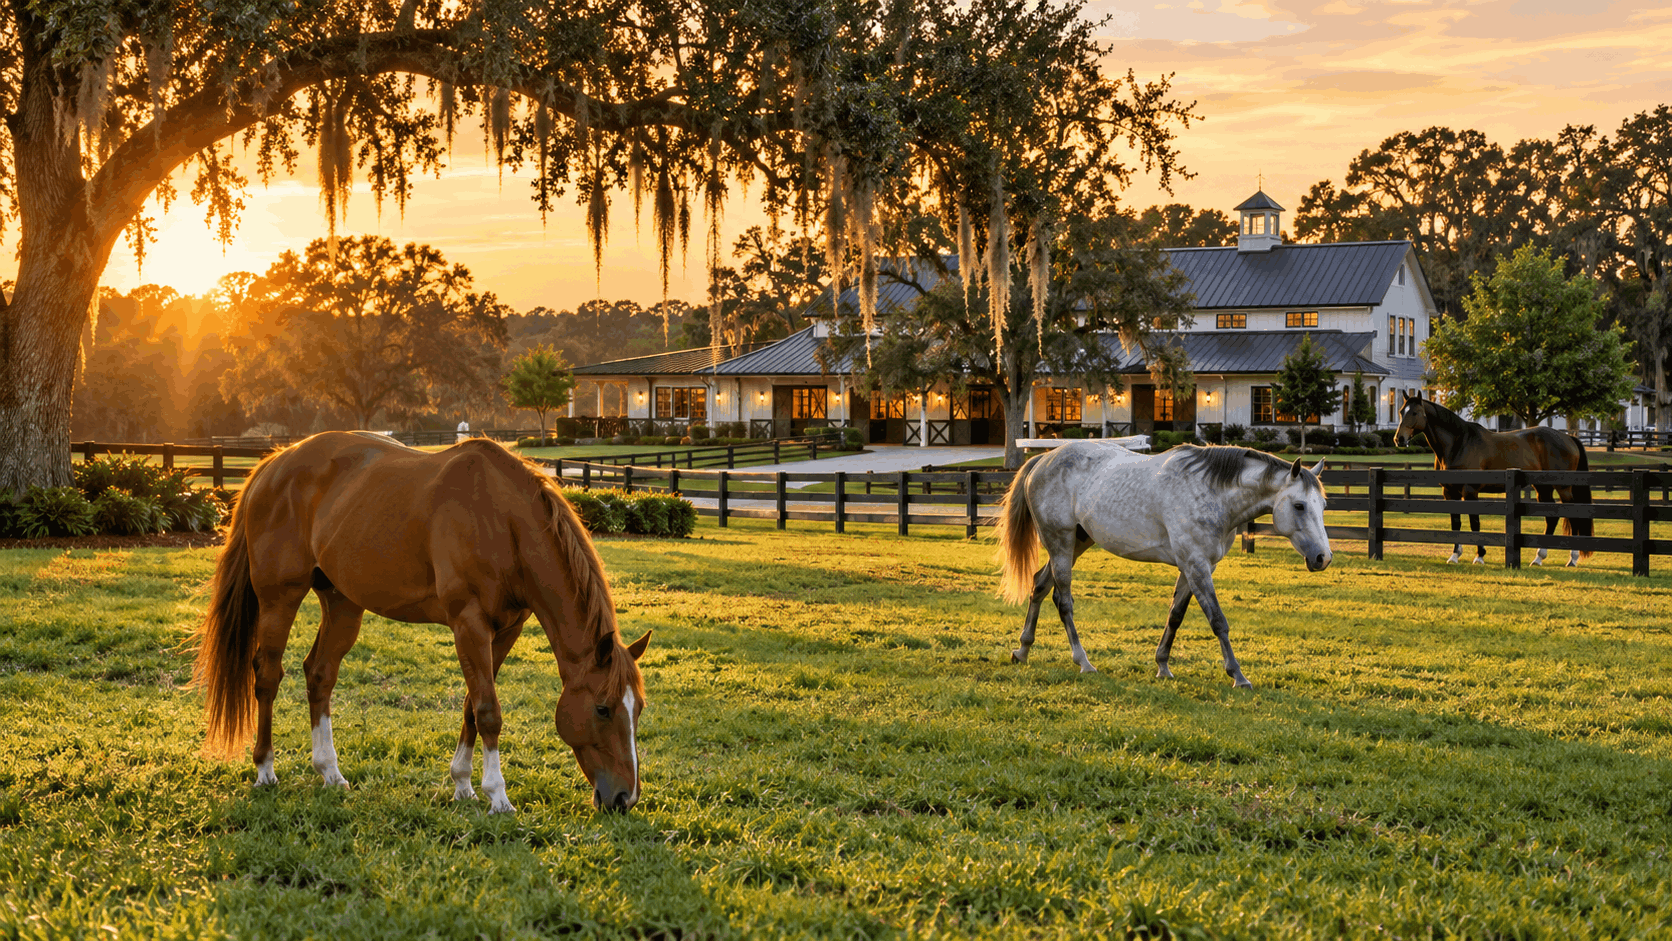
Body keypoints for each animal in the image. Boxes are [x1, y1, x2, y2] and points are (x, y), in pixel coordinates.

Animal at [191, 431, 651, 814]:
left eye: (639, 709)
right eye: (603, 708)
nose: (625, 798)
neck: (504, 521)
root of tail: (274, 463)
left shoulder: (505, 630)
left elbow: (471, 705)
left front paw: (463, 784)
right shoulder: (469, 624)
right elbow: (488, 710)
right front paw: (497, 795)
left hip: (342, 604)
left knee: (319, 675)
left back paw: (330, 772)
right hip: (278, 599)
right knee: (268, 676)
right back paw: (265, 770)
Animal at [995, 441, 1332, 689]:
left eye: (1323, 505)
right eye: (1299, 505)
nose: (1323, 558)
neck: (1212, 493)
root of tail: (1044, 459)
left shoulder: (1192, 567)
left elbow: (1176, 616)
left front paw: (1162, 666)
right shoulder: (1196, 566)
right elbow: (1218, 621)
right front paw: (1238, 675)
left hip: (1076, 543)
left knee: (1039, 586)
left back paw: (1022, 650)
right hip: (1061, 544)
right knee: (1063, 600)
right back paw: (1083, 662)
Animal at [1393, 391, 1593, 566]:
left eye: (1415, 412)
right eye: (1401, 411)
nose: (1399, 439)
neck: (1459, 443)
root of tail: (1569, 437)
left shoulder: (1470, 491)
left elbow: (1474, 522)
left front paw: (1479, 556)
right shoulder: (1449, 491)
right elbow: (1456, 523)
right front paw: (1454, 556)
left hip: (1563, 487)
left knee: (1573, 515)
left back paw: (1572, 558)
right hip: (1543, 488)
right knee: (1551, 518)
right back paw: (1538, 558)